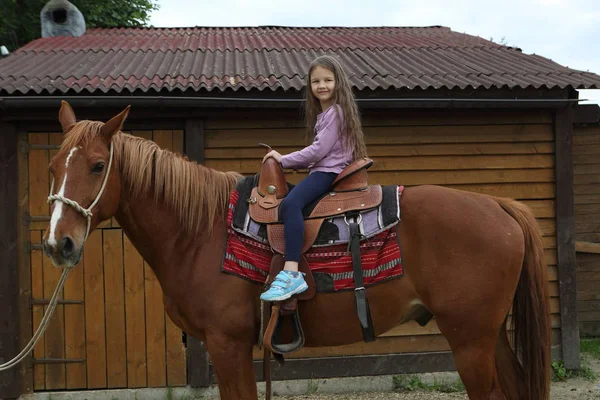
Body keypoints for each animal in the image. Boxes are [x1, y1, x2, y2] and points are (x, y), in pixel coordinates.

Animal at [41, 102, 548, 400]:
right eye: (52, 166)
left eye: (98, 165)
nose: (58, 243)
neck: (200, 232)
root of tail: (497, 204)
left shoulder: (227, 345)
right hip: (488, 337)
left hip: (470, 340)